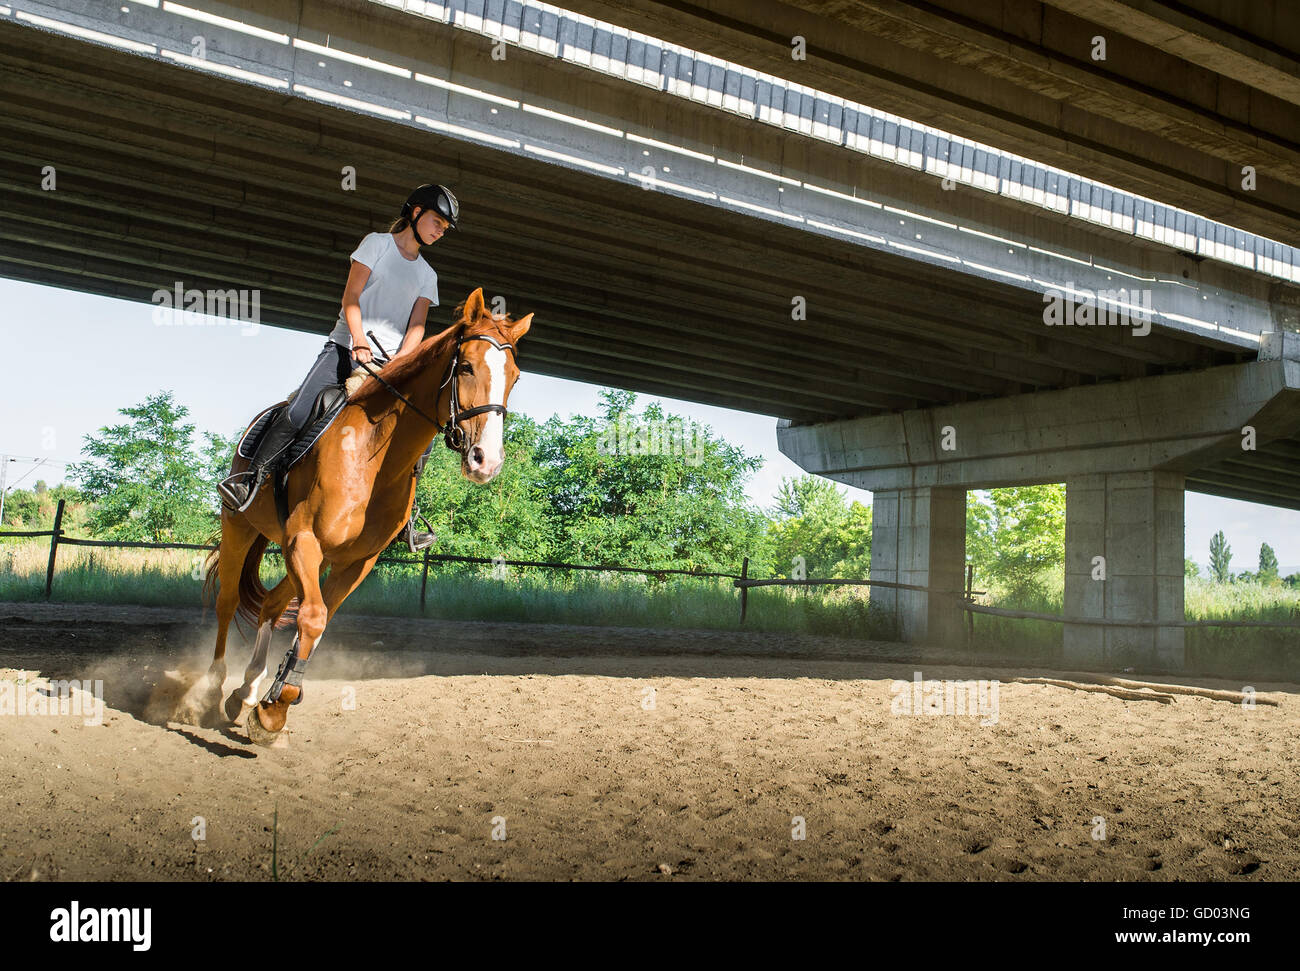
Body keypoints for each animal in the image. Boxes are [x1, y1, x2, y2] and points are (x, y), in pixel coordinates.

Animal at [200, 287, 530, 743]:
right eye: (465, 366)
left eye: (513, 378)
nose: (487, 461)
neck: (373, 455)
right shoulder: (303, 540)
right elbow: (313, 618)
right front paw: (274, 707)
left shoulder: (355, 561)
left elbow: (318, 621)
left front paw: (274, 704)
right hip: (242, 527)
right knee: (228, 601)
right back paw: (213, 690)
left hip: (306, 555)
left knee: (270, 604)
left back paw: (246, 690)